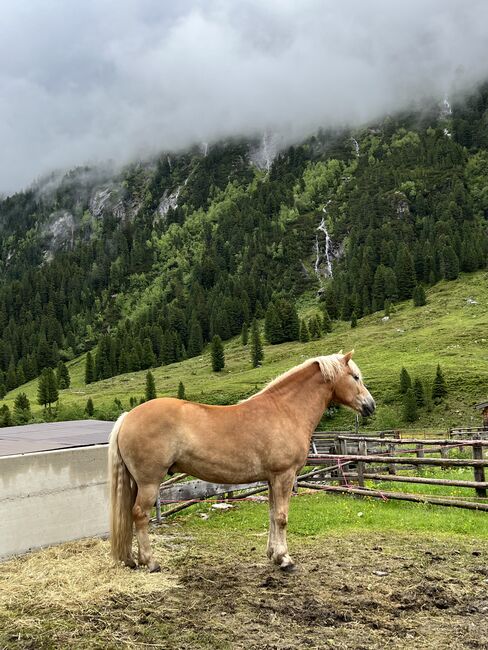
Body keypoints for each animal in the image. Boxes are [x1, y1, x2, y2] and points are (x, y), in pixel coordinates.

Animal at [108, 352, 376, 568]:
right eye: (355, 377)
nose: (370, 406)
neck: (285, 411)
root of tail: (127, 416)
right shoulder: (284, 475)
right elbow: (282, 517)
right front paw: (285, 559)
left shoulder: (272, 479)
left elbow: (272, 514)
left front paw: (273, 555)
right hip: (149, 483)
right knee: (140, 515)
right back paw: (151, 562)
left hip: (137, 483)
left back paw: (132, 560)